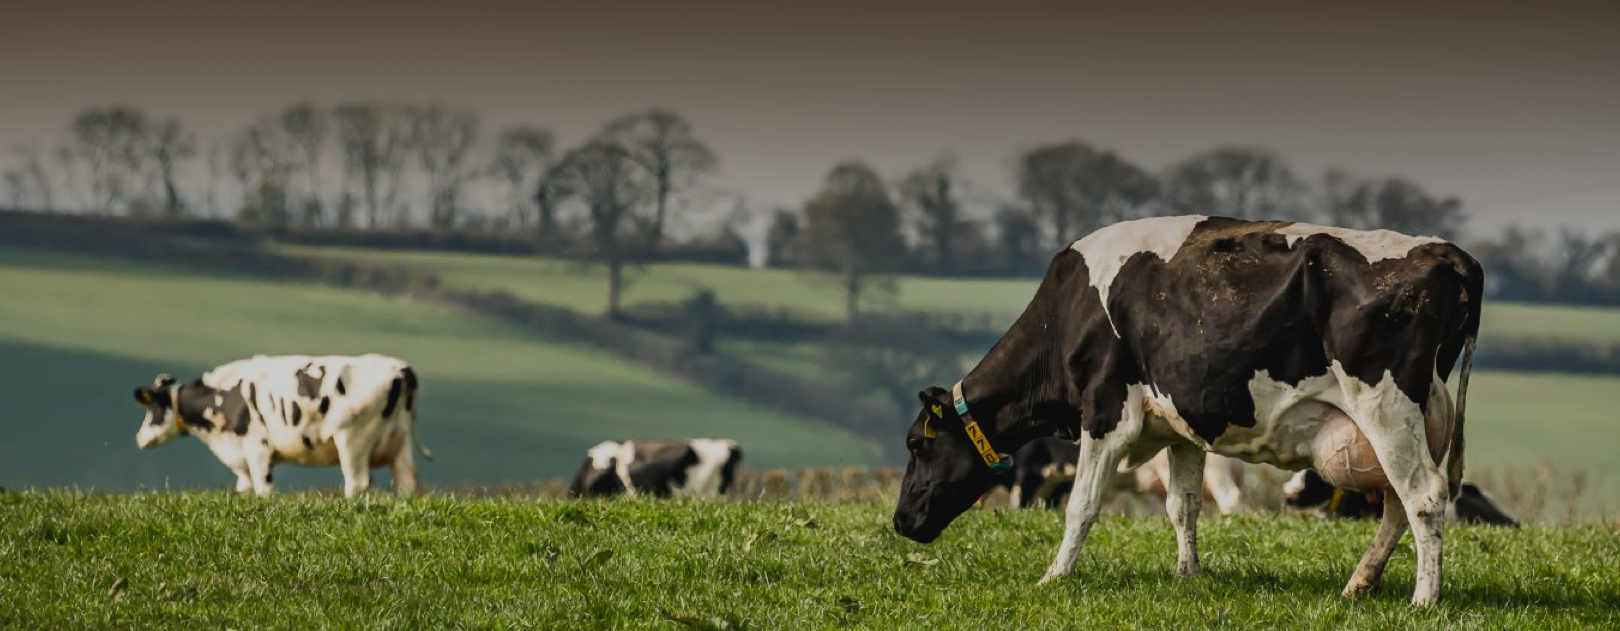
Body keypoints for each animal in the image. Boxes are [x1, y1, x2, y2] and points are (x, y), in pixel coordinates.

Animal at [129, 354, 430, 498]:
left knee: (356, 483)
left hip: (352, 439)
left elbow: (264, 489)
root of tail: (400, 369)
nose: (139, 439)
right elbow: (245, 488)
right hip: (398, 441)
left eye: (152, 408)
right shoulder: (241, 458)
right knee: (406, 482)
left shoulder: (258, 448)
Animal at [894, 216, 1483, 605]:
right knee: (1396, 504)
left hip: (1386, 404)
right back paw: (1359, 583)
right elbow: (1184, 505)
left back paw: (1423, 600)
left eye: (917, 444)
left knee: (1424, 497)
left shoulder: (1106, 410)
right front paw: (1187, 574)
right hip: (1417, 416)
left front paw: (1055, 576)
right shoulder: (1178, 423)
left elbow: (1082, 504)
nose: (901, 520)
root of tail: (1444, 251)